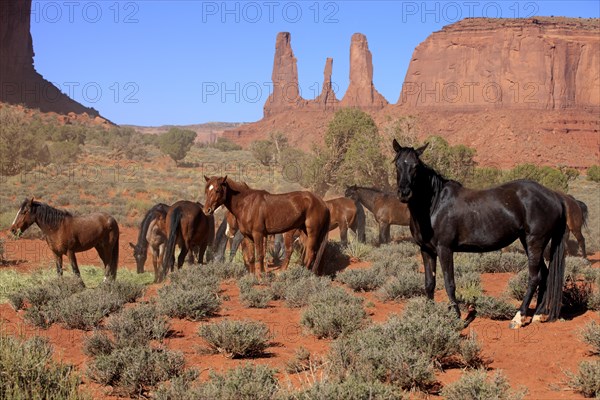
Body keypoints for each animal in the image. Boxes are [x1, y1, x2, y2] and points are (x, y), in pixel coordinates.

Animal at [394, 142, 568, 330]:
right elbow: (429, 284)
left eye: (415, 166)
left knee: (534, 277)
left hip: (535, 241)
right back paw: (537, 315)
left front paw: (456, 318)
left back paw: (518, 318)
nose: (404, 193)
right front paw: (428, 316)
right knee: (545, 275)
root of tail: (554, 196)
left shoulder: (444, 249)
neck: (435, 205)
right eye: (397, 164)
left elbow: (449, 283)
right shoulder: (426, 250)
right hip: (529, 241)